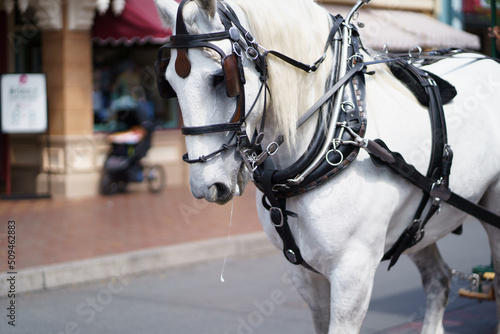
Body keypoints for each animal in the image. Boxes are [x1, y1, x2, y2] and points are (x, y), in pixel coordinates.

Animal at [153, 1, 500, 332]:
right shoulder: (304, 274)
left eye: (220, 78)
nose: (205, 186)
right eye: (168, 83)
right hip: (415, 227)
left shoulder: (353, 272)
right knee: (438, 280)